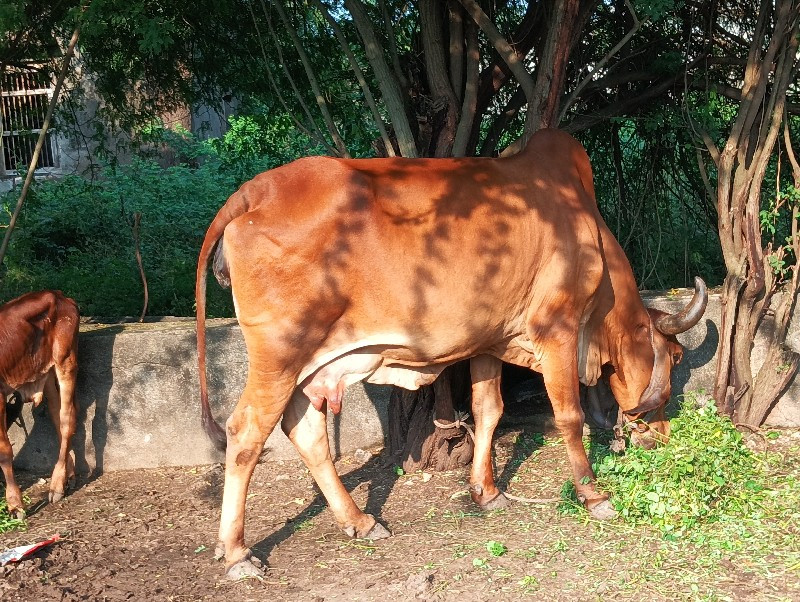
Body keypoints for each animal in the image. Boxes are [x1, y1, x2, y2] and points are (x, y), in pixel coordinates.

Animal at [0, 290, 79, 516]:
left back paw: (56, 485)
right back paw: (67, 476)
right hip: (47, 373)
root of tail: (59, 295)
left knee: (67, 419)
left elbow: (4, 451)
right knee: (57, 417)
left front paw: (15, 504)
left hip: (66, 361)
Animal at [198, 130, 708, 576]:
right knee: (245, 433)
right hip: (280, 354)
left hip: (310, 365)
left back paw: (359, 521)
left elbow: (488, 409)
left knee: (305, 431)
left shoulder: (489, 341)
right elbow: (569, 415)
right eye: (675, 357)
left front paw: (486, 491)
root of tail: (252, 192)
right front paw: (593, 496)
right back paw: (238, 553)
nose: (662, 436)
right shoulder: (557, 331)